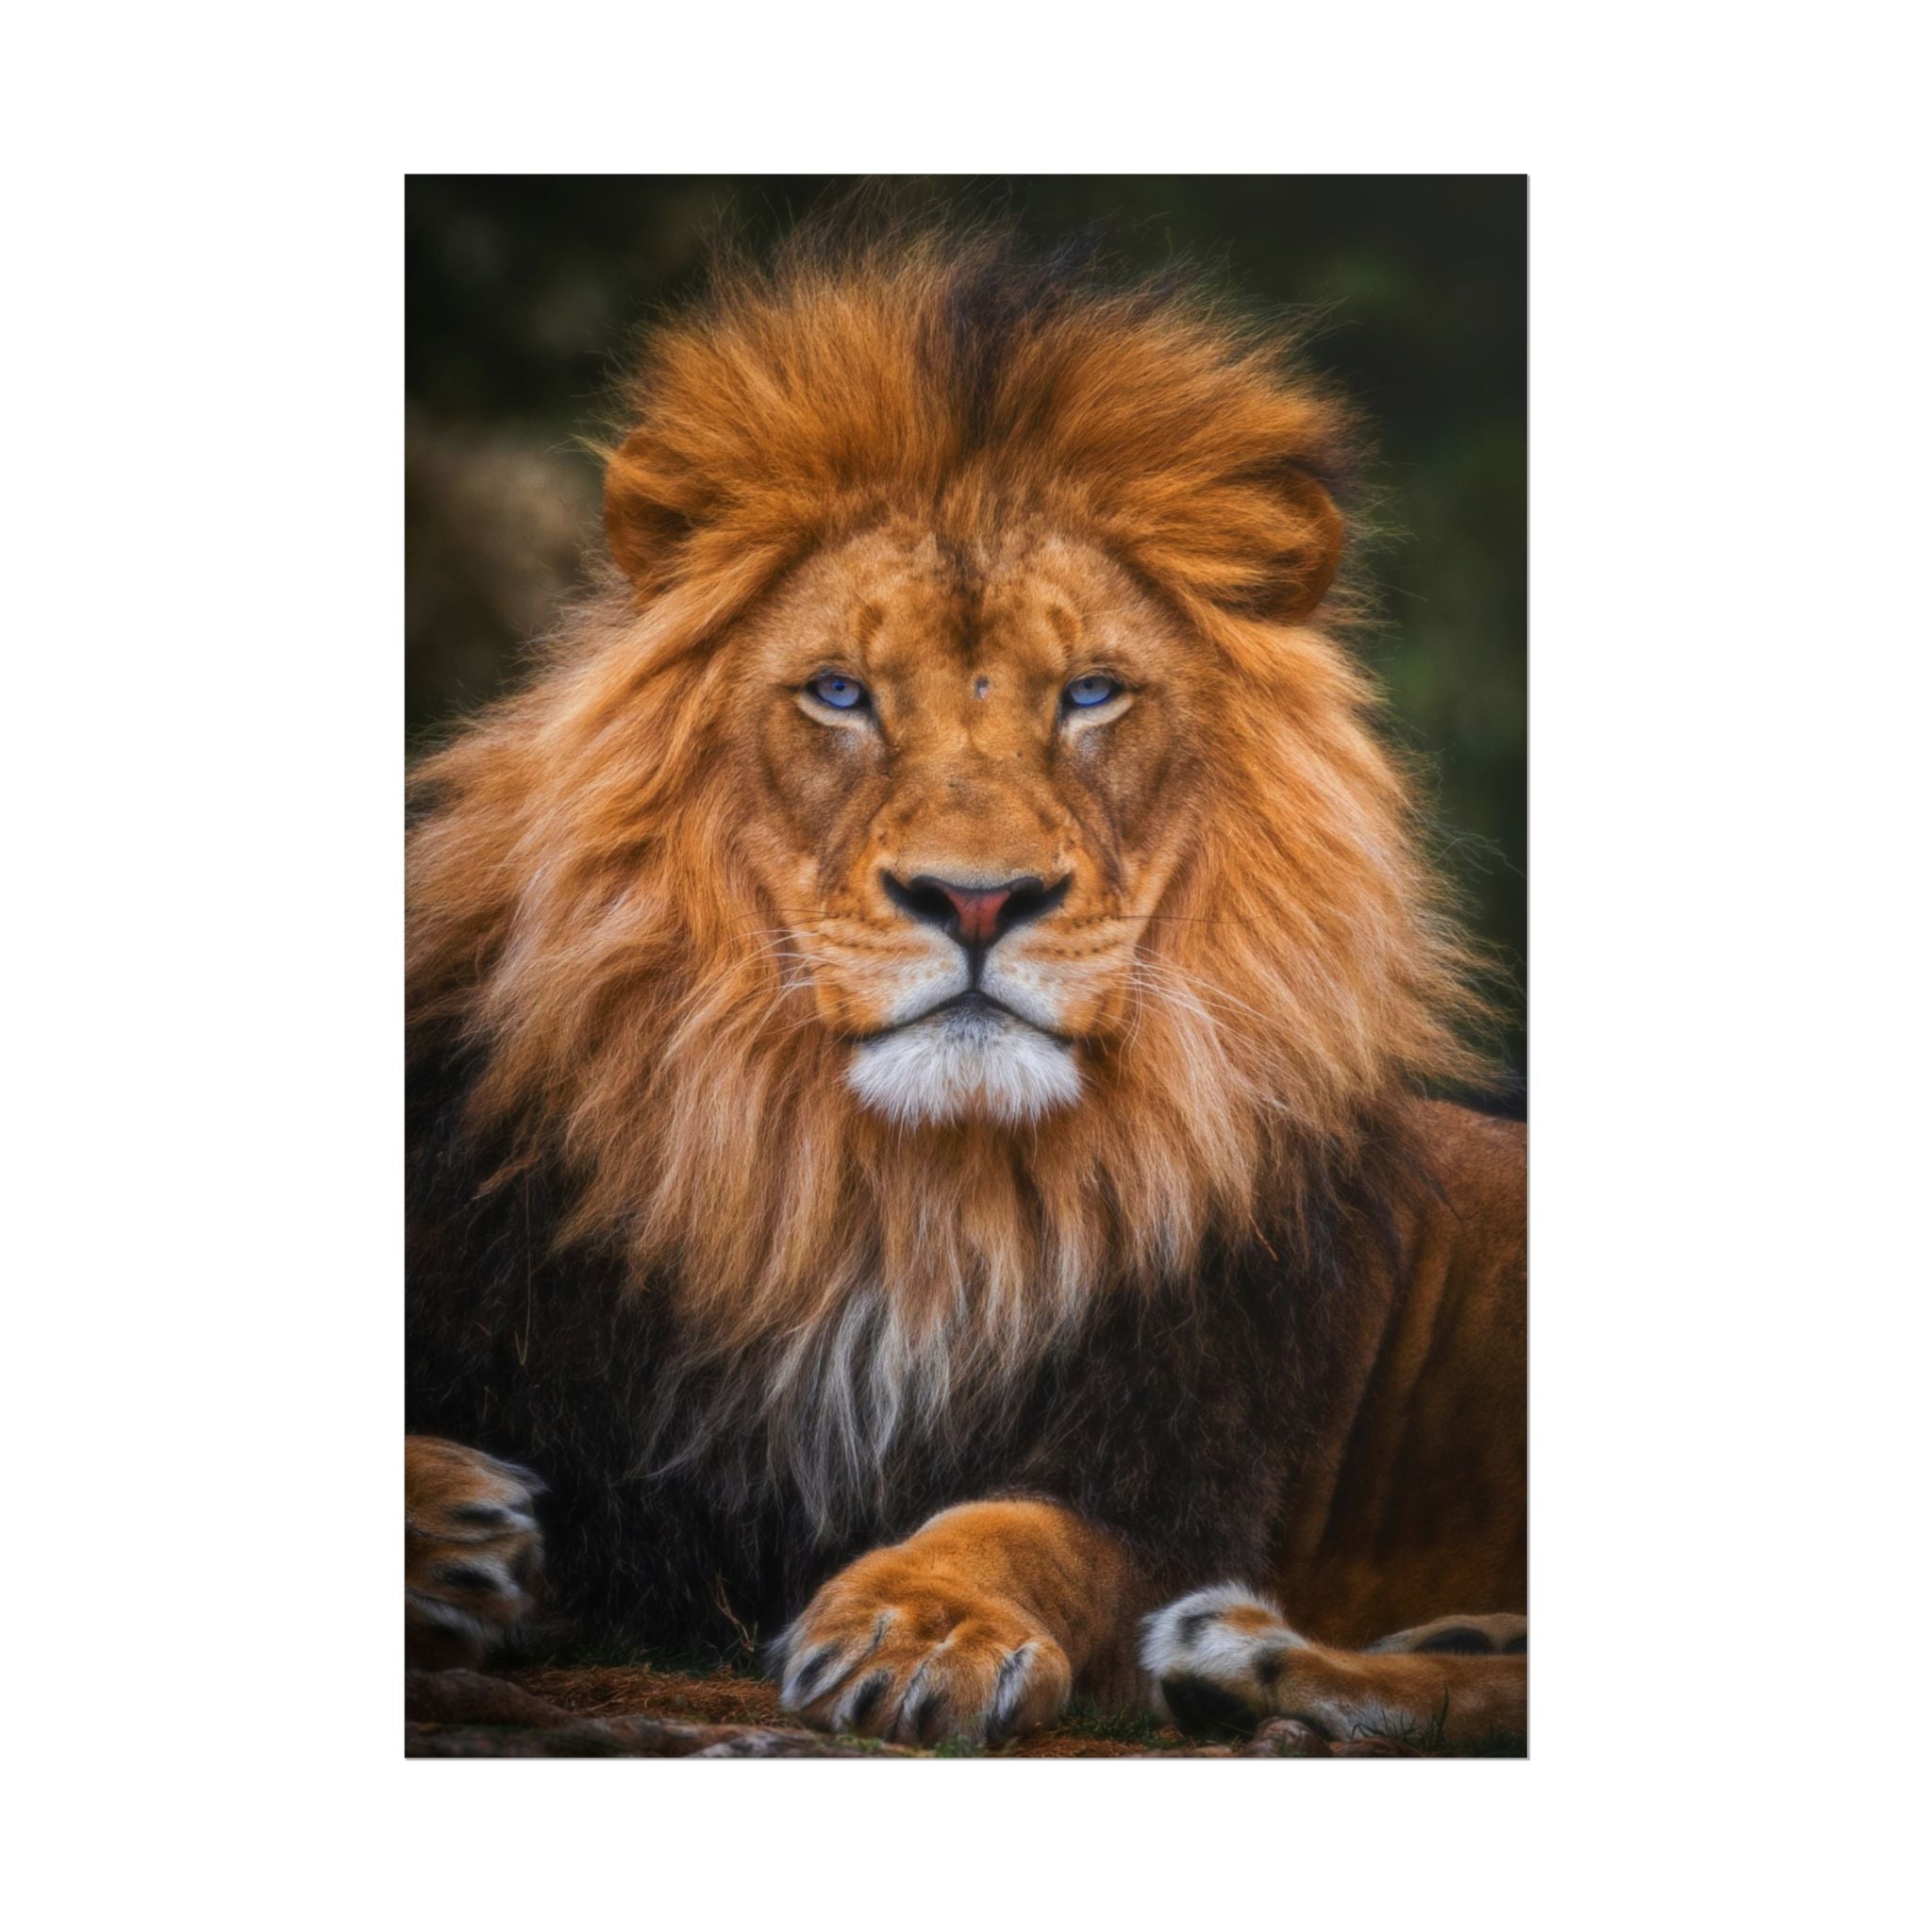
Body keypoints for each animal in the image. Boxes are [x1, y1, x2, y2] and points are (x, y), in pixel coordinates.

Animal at [404, 224, 1527, 1752]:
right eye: (838, 692)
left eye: (1092, 694)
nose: (978, 899)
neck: (894, 1201)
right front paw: (450, 1525)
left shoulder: (1176, 1467)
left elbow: (1026, 1529)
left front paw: (919, 1625)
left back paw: (1249, 1656)